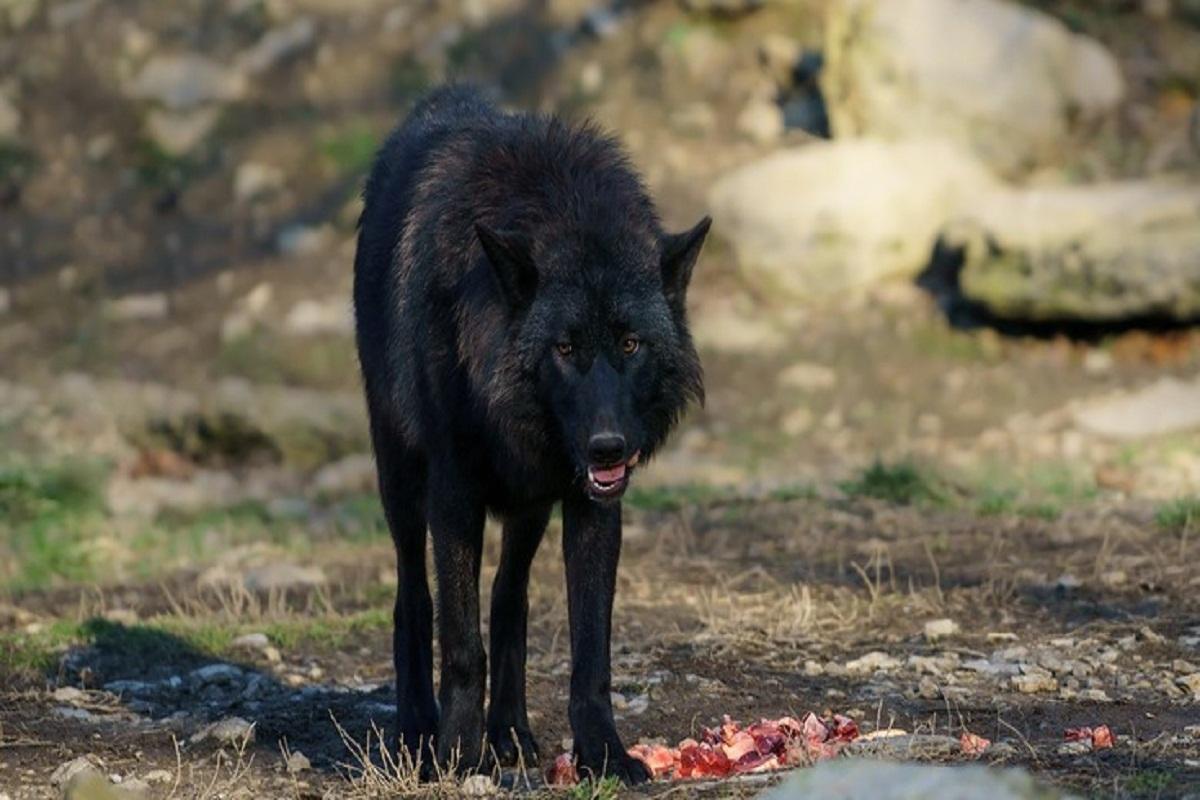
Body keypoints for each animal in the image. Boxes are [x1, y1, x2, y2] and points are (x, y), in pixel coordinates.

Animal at [355, 86, 710, 782]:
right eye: (565, 348)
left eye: (631, 344)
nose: (608, 447)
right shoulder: (455, 498)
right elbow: (461, 644)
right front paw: (455, 753)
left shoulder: (591, 507)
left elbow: (590, 655)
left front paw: (605, 754)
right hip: (401, 484)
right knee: (413, 597)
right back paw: (417, 730)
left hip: (530, 510)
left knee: (508, 597)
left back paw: (510, 732)